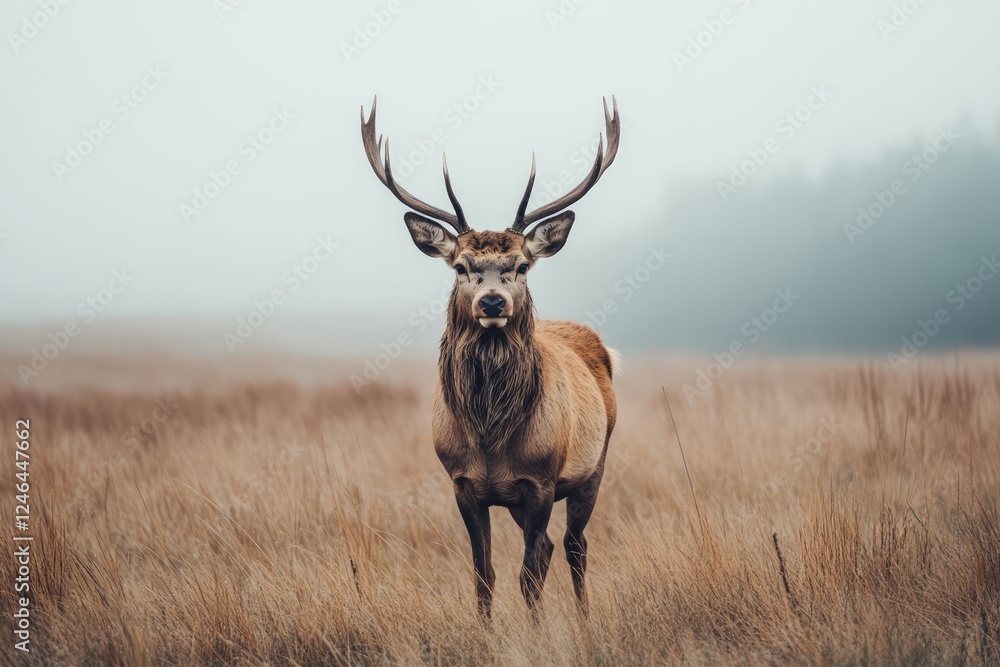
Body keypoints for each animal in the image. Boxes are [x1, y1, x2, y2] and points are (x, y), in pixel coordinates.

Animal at [360, 96, 621, 620]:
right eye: (462, 266)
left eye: (520, 265)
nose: (494, 302)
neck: (490, 436)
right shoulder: (462, 483)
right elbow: (484, 576)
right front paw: (486, 630)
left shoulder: (541, 480)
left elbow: (529, 575)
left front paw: (538, 631)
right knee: (552, 548)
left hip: (594, 464)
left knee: (573, 546)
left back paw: (585, 620)